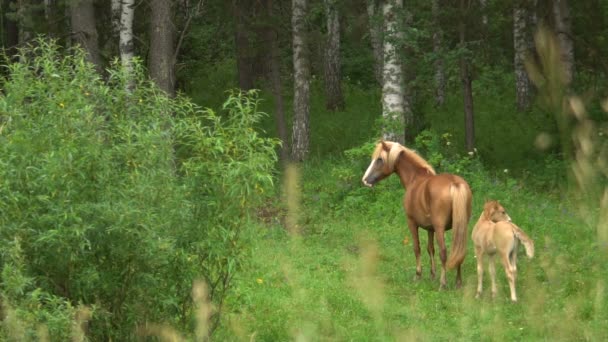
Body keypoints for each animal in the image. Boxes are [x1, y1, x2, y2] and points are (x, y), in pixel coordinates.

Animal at [364, 140, 472, 288]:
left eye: (379, 159)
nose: (365, 180)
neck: (415, 179)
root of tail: (455, 183)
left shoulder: (412, 223)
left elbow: (417, 248)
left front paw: (418, 275)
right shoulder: (430, 229)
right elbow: (430, 249)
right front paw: (432, 275)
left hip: (440, 229)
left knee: (443, 252)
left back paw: (443, 283)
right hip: (460, 227)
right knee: (459, 251)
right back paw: (458, 282)